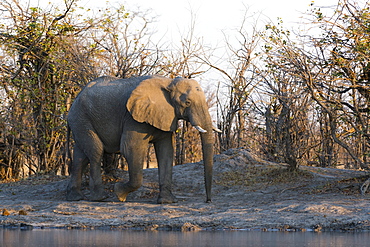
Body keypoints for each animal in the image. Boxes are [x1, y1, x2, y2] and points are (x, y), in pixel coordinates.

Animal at [66, 75, 220, 203]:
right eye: (187, 102)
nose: (208, 201)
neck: (168, 82)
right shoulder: (133, 118)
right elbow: (130, 149)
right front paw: (119, 193)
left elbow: (166, 151)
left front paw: (167, 202)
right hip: (81, 118)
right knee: (96, 151)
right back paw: (100, 198)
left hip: (80, 121)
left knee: (81, 156)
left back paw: (76, 197)